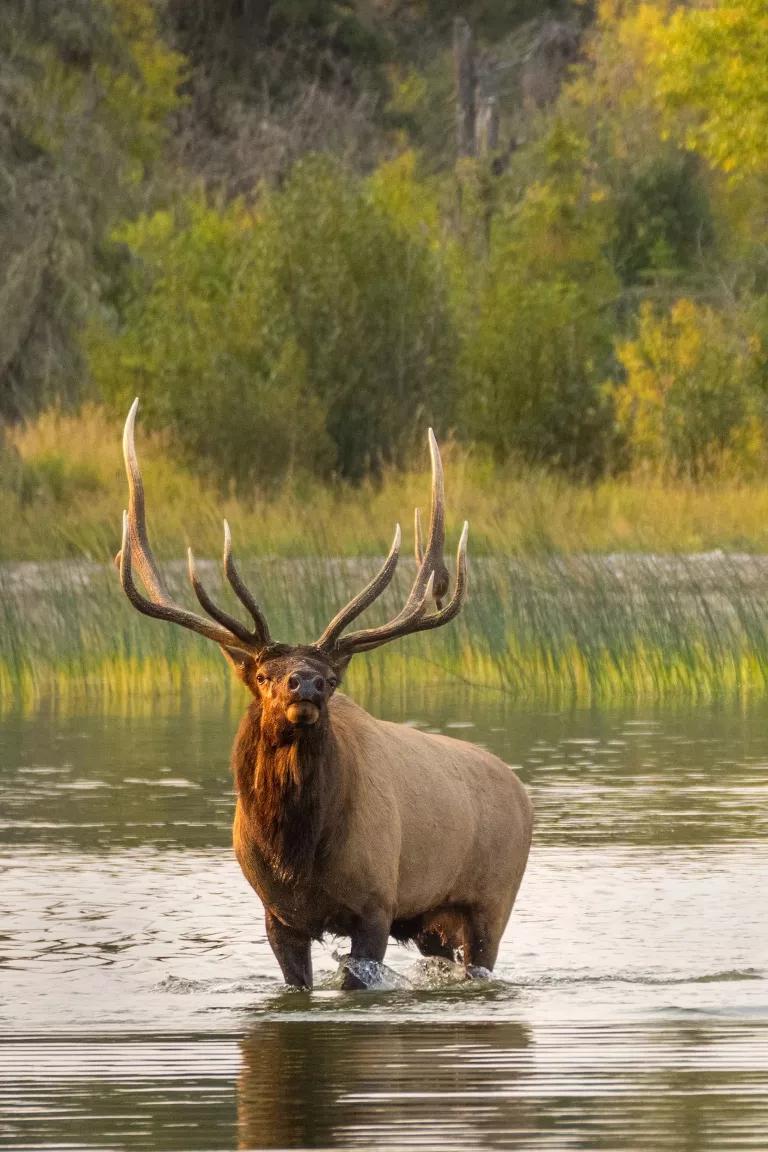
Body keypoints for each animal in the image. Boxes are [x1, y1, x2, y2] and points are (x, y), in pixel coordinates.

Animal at [117, 400, 531, 986]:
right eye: (264, 676)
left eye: (333, 682)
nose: (307, 682)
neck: (297, 859)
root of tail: (521, 791)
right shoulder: (277, 916)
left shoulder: (376, 904)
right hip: (434, 925)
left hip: (491, 904)